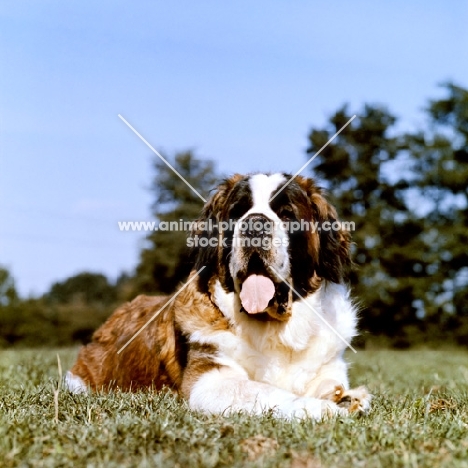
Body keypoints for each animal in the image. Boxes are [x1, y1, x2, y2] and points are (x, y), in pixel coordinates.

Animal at [66, 173, 372, 420]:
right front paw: (323, 408)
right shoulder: (209, 380)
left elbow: (326, 381)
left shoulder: (329, 366)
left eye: (287, 215)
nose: (255, 225)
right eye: (237, 214)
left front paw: (346, 397)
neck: (275, 329)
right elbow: (264, 390)